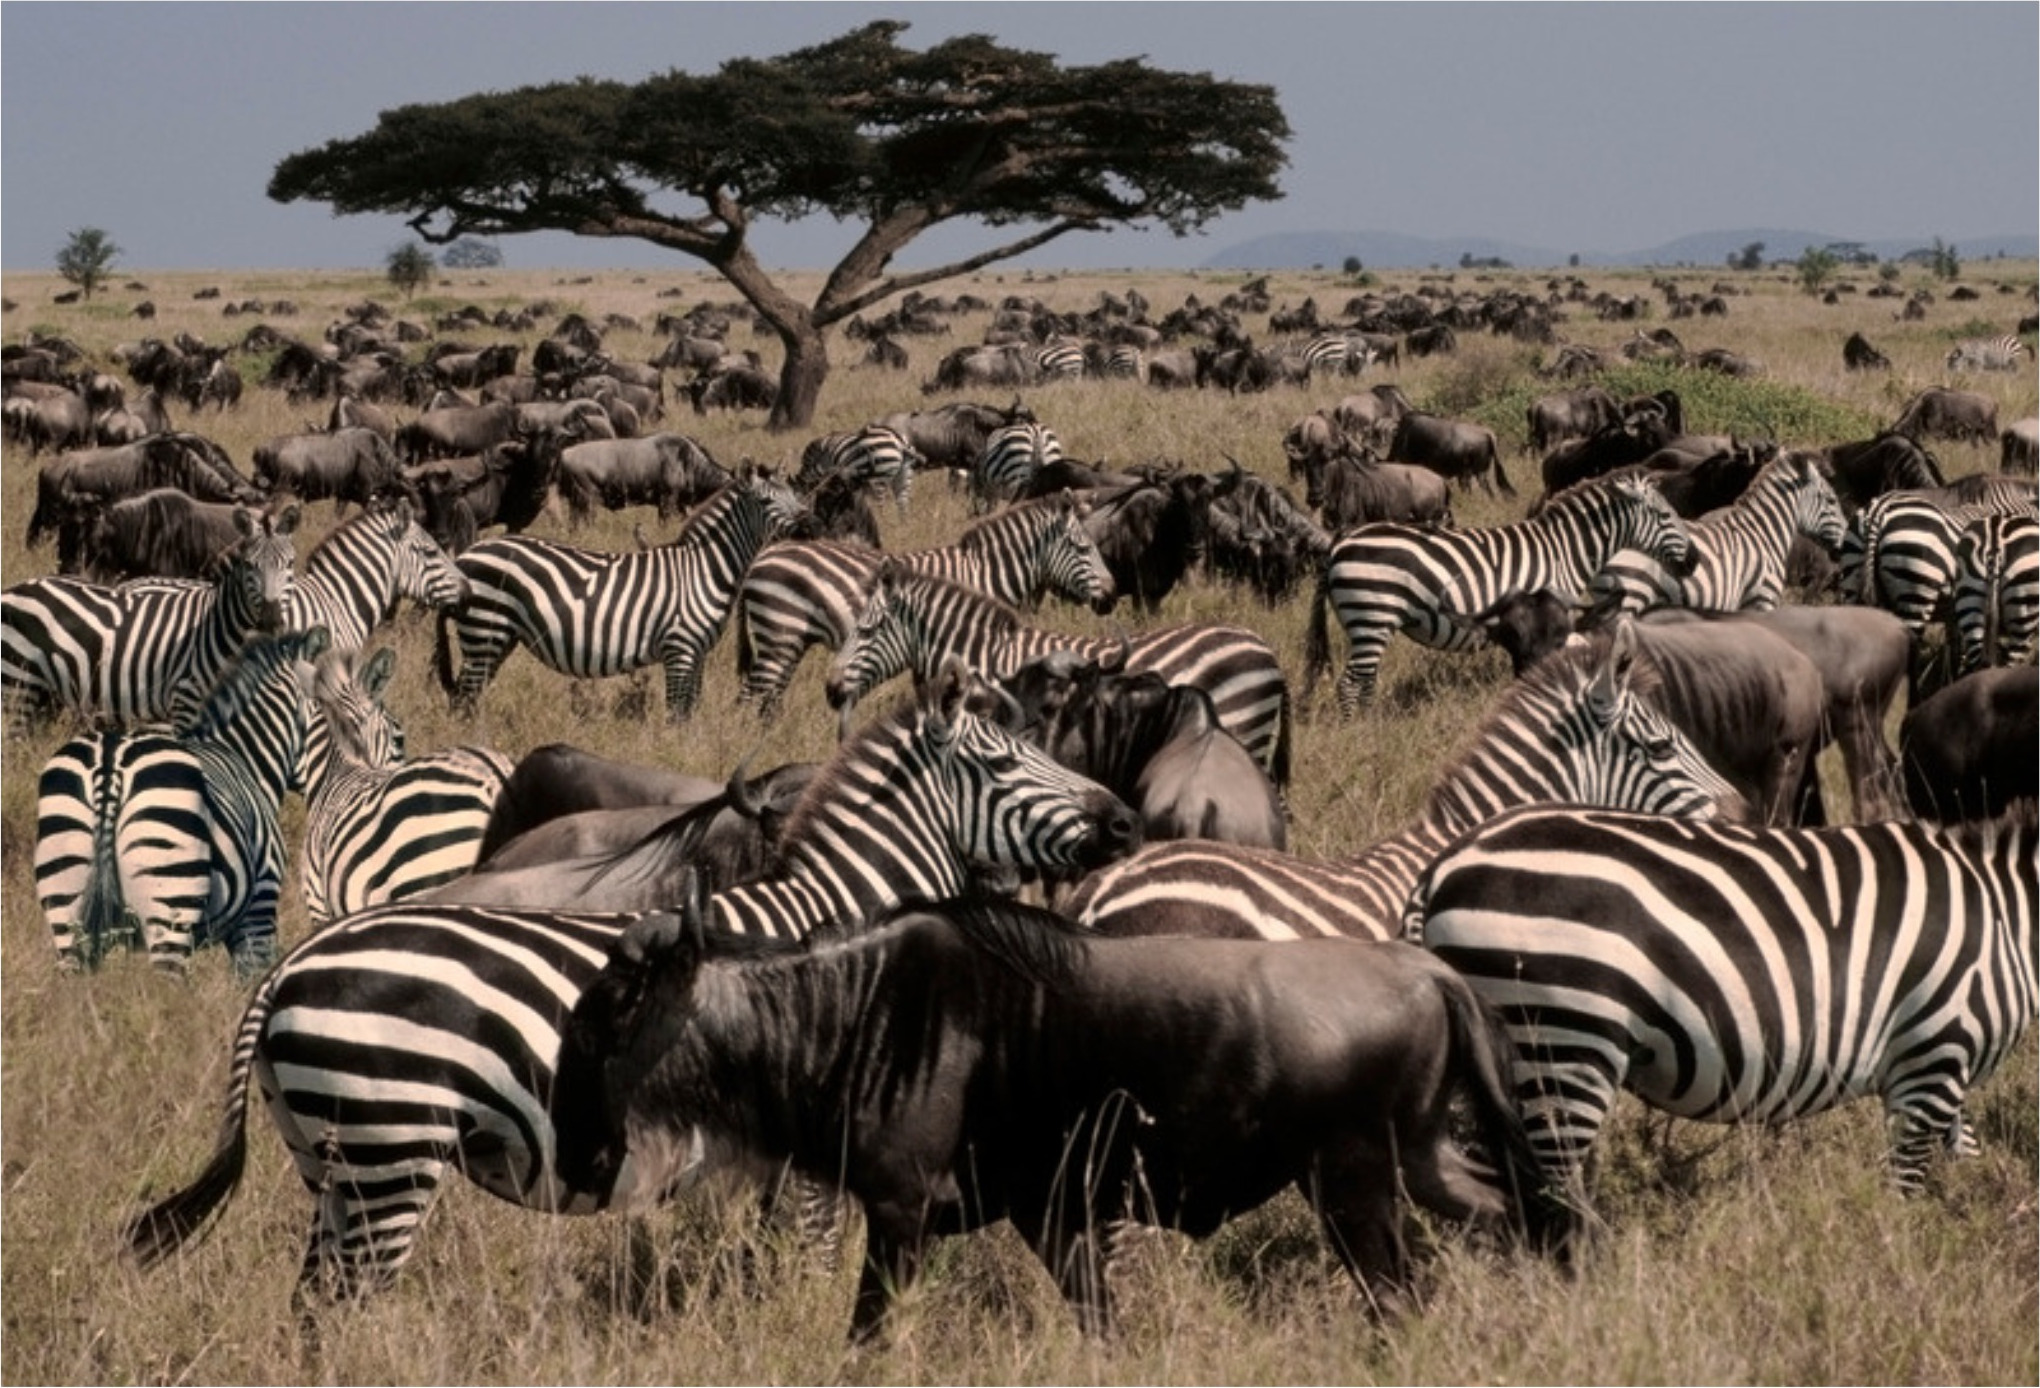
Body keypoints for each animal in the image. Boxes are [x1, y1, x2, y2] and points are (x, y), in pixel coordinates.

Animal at [2, 504, 300, 730]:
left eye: (290, 564)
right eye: (249, 565)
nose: (271, 620)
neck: (218, 628)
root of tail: (12, 590)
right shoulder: (186, 698)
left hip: (45, 696)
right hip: (18, 685)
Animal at [434, 466, 807, 718]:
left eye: (794, 496)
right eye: (764, 501)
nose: (808, 525)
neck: (705, 569)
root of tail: (466, 556)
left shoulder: (698, 652)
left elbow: (690, 711)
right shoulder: (680, 648)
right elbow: (676, 713)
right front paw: (674, 754)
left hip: (499, 637)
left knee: (467, 695)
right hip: (485, 630)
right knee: (463, 698)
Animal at [733, 492, 1117, 719]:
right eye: (1084, 548)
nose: (1113, 597)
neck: (985, 572)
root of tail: (761, 558)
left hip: (785, 641)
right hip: (780, 636)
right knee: (753, 698)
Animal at [1306, 474, 1693, 716]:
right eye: (1664, 515)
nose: (1692, 561)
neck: (1564, 550)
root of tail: (1340, 543)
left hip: (1368, 623)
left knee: (1365, 683)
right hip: (1370, 615)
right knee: (1350, 685)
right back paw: (1358, 729)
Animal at [1404, 803, 2037, 1202]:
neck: (2010, 922)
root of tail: (1442, 867)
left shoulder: (1941, 1066)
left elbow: (1963, 1156)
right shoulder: (1935, 1053)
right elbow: (1906, 1186)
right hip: (1565, 1032)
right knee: (1557, 1190)